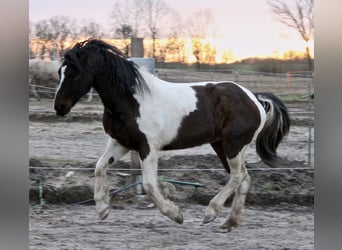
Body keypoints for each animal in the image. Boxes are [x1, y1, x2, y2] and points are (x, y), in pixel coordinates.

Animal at [53, 39, 288, 232]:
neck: (132, 101)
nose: (59, 107)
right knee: (244, 178)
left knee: (238, 177)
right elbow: (100, 167)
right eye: (59, 72)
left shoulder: (148, 148)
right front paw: (102, 209)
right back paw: (229, 223)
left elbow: (149, 184)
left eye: (73, 72)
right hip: (221, 145)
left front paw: (176, 215)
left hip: (234, 145)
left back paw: (210, 213)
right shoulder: (120, 143)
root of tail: (255, 98)